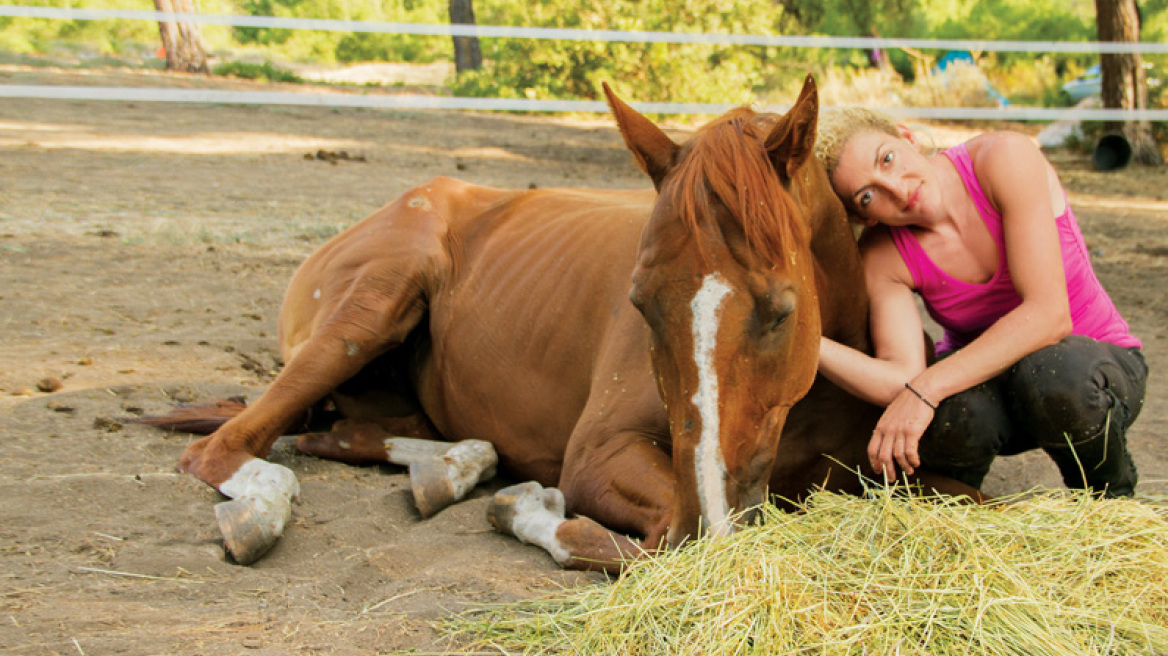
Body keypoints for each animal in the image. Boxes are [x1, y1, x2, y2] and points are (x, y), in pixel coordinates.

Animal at [146, 75, 976, 567]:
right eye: (639, 303)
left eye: (782, 310)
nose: (709, 518)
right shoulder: (603, 461)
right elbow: (635, 544)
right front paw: (525, 508)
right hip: (367, 311)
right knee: (227, 448)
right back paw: (264, 509)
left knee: (348, 435)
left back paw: (453, 467)